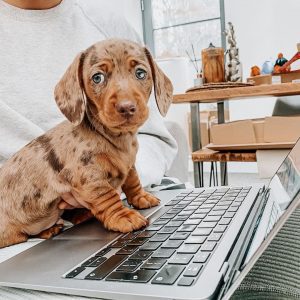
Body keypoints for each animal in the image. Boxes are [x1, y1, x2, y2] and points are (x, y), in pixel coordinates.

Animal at [0, 38, 173, 247]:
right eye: (97, 78)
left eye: (141, 73)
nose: (126, 107)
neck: (116, 137)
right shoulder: (90, 177)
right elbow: (108, 197)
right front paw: (124, 217)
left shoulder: (129, 165)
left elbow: (133, 180)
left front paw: (141, 197)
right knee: (24, 235)